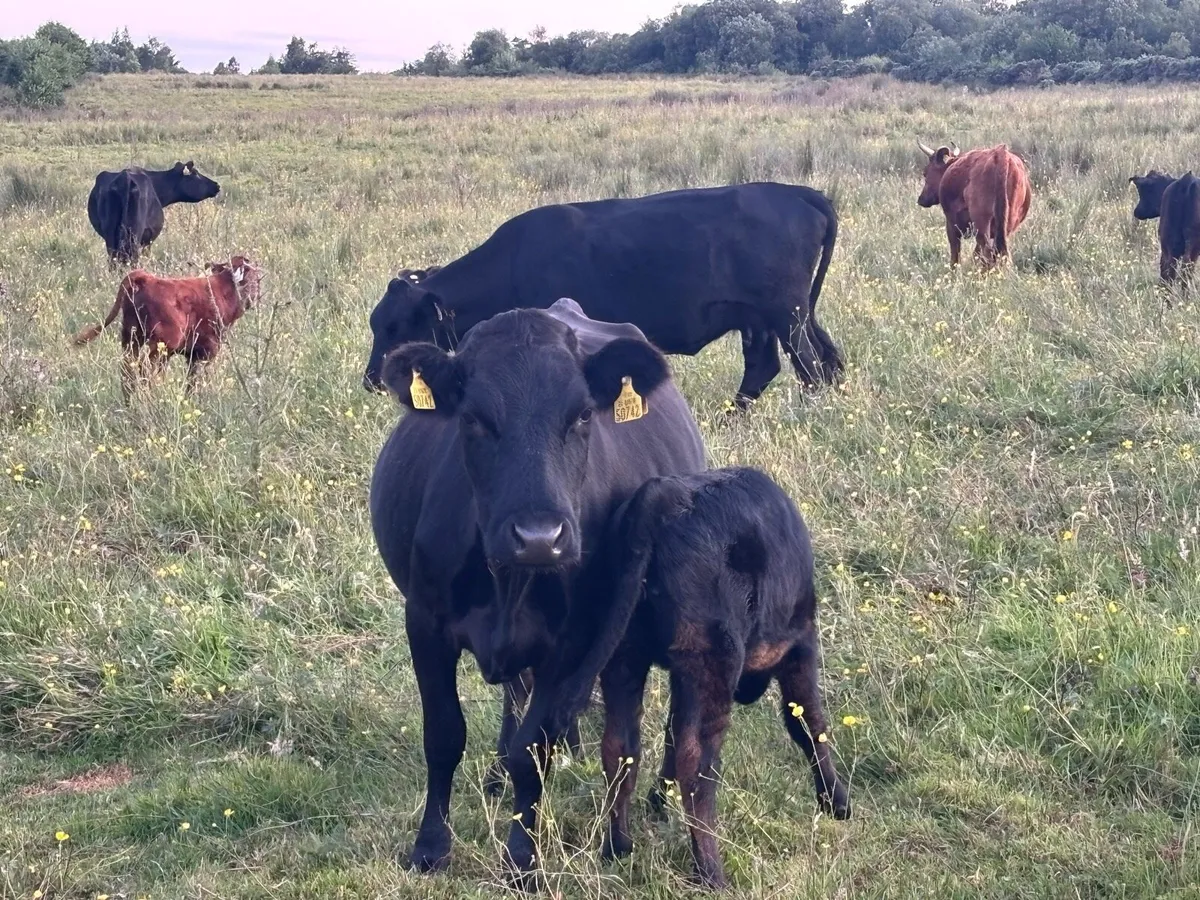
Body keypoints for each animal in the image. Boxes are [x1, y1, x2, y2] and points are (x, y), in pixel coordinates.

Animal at [72, 255, 261, 396]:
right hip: (160, 345)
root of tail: (146, 278)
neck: (222, 291)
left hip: (131, 338)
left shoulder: (192, 355)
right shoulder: (208, 350)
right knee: (145, 370)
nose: (258, 297)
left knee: (127, 370)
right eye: (255, 278)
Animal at [363, 183, 844, 410]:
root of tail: (797, 193)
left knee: (811, 369)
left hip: (786, 315)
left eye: (396, 326)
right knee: (796, 364)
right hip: (773, 317)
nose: (372, 379)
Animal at [369, 298, 706, 878]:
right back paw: (496, 775)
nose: (538, 538)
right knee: (513, 695)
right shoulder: (424, 623)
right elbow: (444, 734)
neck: (509, 580)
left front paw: (522, 858)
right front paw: (431, 846)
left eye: (583, 415)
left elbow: (535, 749)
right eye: (474, 418)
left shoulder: (572, 641)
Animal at [546, 466, 849, 888]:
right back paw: (710, 871)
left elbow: (671, 733)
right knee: (698, 764)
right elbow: (807, 723)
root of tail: (661, 497)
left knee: (621, 747)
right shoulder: (799, 645)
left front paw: (658, 800)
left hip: (628, 657)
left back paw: (618, 847)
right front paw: (835, 801)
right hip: (713, 661)